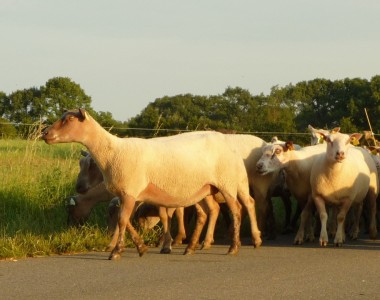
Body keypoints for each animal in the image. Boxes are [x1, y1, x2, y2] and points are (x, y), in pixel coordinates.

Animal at [41, 109, 262, 258]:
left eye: (69, 119)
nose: (44, 133)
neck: (112, 152)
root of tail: (227, 140)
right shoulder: (130, 194)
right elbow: (126, 220)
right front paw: (141, 247)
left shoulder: (130, 191)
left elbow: (123, 220)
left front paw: (116, 251)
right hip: (207, 188)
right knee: (217, 210)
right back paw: (195, 247)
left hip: (229, 183)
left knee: (238, 209)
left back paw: (235, 246)